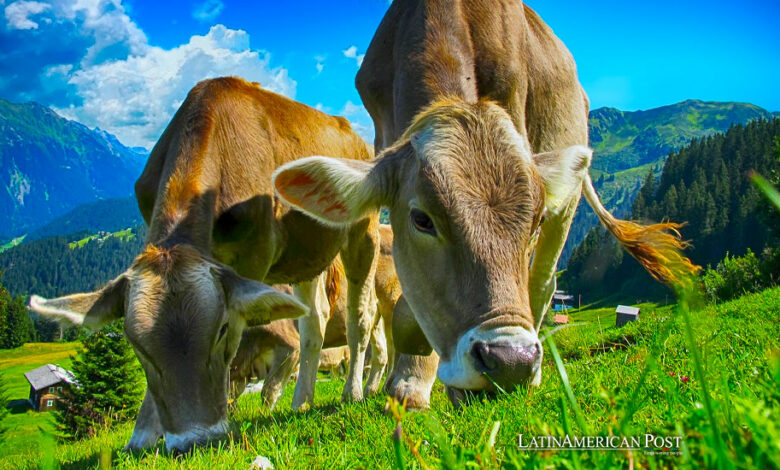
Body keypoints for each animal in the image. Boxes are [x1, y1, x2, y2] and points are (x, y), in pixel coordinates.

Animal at [29, 77, 382, 452]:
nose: (195, 441)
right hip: (306, 254)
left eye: (222, 330)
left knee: (361, 316)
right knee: (314, 320)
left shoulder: (253, 257)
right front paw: (142, 435)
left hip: (363, 231)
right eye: (136, 345)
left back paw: (353, 393)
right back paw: (302, 401)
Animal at [272, 0, 696, 410]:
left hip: (569, 194)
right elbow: (410, 303)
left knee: (543, 281)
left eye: (534, 220)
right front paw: (411, 380)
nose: (511, 362)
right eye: (421, 219)